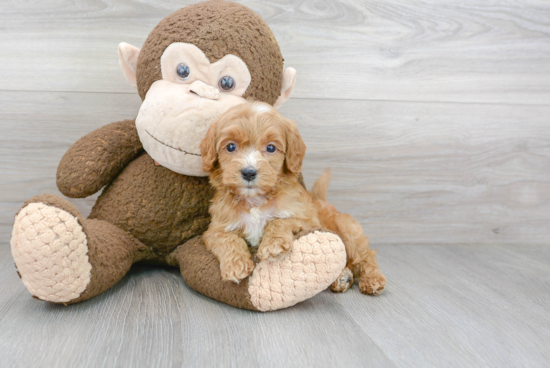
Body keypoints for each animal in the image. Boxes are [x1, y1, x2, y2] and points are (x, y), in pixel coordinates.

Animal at [201, 101, 386, 296]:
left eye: (271, 148)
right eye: (230, 147)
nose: (249, 172)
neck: (256, 201)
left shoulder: (308, 221)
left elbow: (280, 221)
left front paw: (273, 245)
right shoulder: (215, 229)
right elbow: (227, 238)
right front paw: (235, 265)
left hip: (348, 231)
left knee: (365, 256)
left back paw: (372, 279)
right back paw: (342, 278)